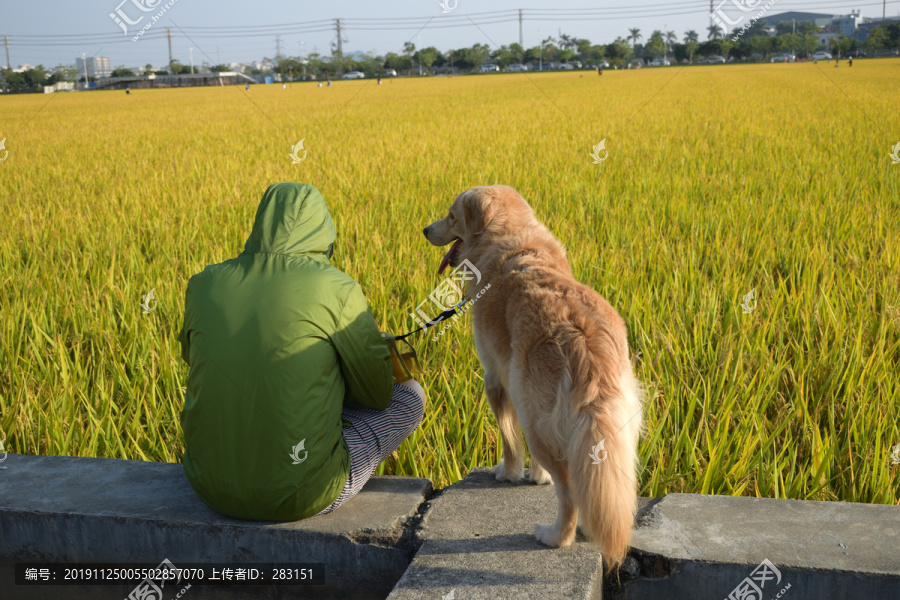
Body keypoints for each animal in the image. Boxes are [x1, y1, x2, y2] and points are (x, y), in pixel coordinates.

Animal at [426, 185, 644, 568]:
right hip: (614, 425)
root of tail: (584, 341)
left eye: (451, 217)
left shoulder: (495, 379)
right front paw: (537, 479)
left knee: (568, 490)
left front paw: (508, 473)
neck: (507, 234)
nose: (425, 230)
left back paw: (555, 536)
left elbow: (508, 439)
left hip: (535, 416)